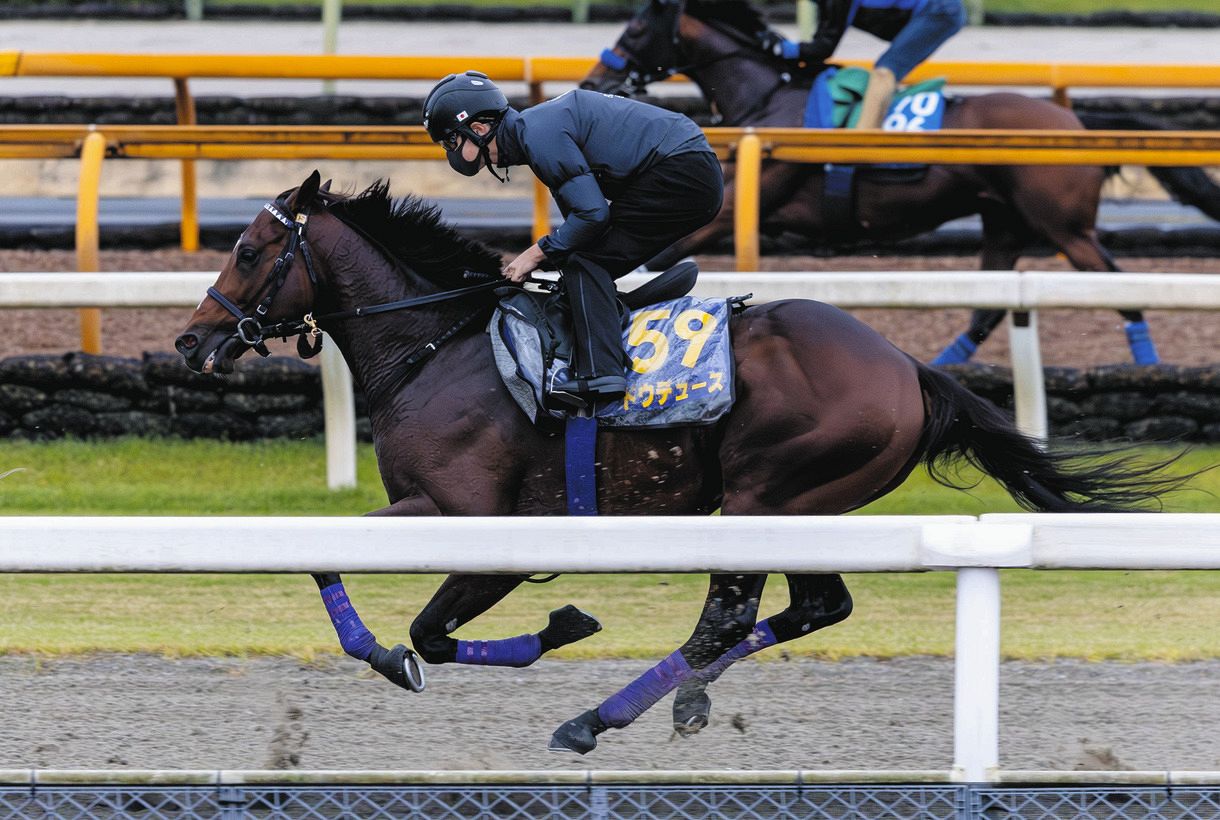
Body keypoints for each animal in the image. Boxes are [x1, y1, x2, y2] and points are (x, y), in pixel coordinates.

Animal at [176, 170, 1185, 756]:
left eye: (249, 250)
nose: (190, 341)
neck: (441, 346)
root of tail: (906, 366)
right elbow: (329, 561)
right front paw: (395, 651)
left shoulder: (480, 526)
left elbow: (429, 631)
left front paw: (556, 626)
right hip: (802, 509)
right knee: (813, 608)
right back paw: (687, 702)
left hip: (767, 494)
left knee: (727, 614)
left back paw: (599, 718)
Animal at [575, 0, 1220, 366]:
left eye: (637, 27)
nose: (597, 78)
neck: (767, 103)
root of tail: (1076, 123)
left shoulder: (736, 207)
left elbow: (666, 255)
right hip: (1004, 222)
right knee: (989, 305)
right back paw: (945, 365)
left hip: (1063, 226)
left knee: (1115, 282)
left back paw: (1147, 360)